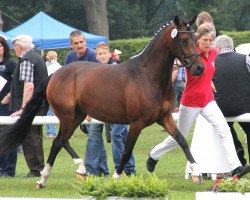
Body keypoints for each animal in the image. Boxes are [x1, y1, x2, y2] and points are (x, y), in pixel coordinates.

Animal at [0, 16, 203, 188]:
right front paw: (115, 177)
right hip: (66, 116)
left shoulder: (164, 118)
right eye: (183, 40)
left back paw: (58, 175)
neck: (147, 76)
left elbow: (181, 140)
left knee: (60, 141)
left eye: (196, 38)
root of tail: (55, 75)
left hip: (78, 115)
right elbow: (127, 151)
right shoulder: (137, 123)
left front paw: (197, 173)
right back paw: (60, 174)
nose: (199, 68)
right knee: (59, 141)